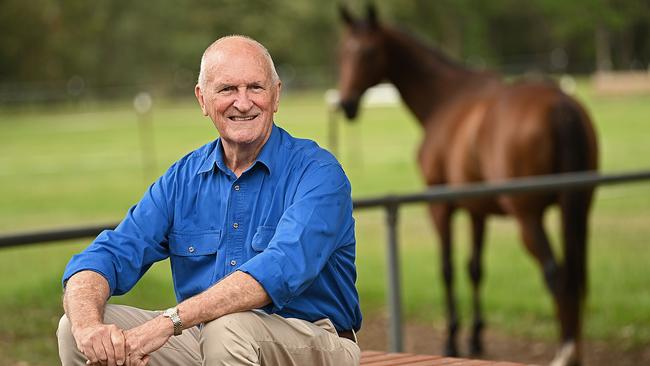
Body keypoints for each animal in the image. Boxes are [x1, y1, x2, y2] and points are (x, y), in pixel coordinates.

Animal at [340, 5, 596, 366]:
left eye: (368, 52)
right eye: (343, 52)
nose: (346, 104)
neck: (446, 98)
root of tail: (560, 106)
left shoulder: (440, 206)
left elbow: (447, 269)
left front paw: (451, 339)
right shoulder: (478, 210)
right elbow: (475, 268)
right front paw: (475, 337)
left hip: (529, 219)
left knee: (557, 277)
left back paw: (565, 352)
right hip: (579, 211)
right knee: (578, 278)